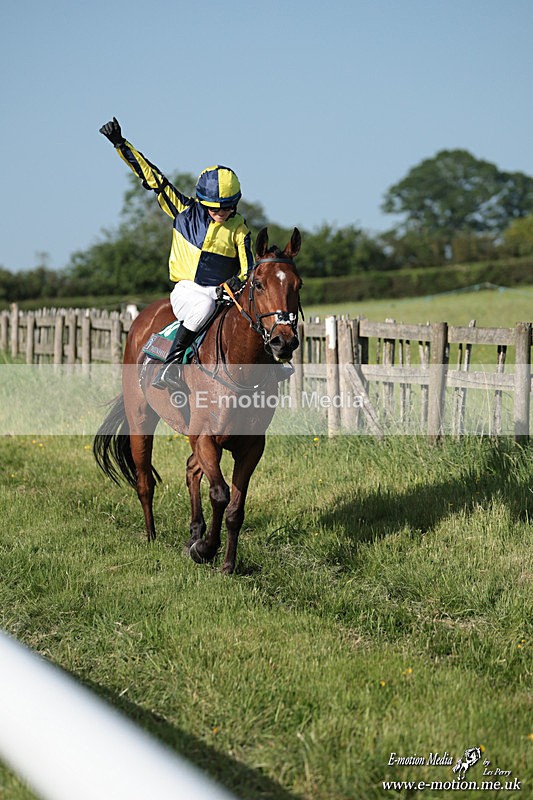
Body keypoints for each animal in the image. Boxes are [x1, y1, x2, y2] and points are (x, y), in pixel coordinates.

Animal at [93, 227, 302, 574]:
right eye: (259, 284)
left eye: (298, 285)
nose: (283, 341)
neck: (238, 366)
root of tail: (141, 318)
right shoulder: (205, 436)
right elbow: (219, 494)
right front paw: (205, 549)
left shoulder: (251, 445)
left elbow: (235, 507)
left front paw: (227, 564)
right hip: (141, 419)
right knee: (144, 480)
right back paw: (152, 536)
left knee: (191, 469)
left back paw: (194, 532)